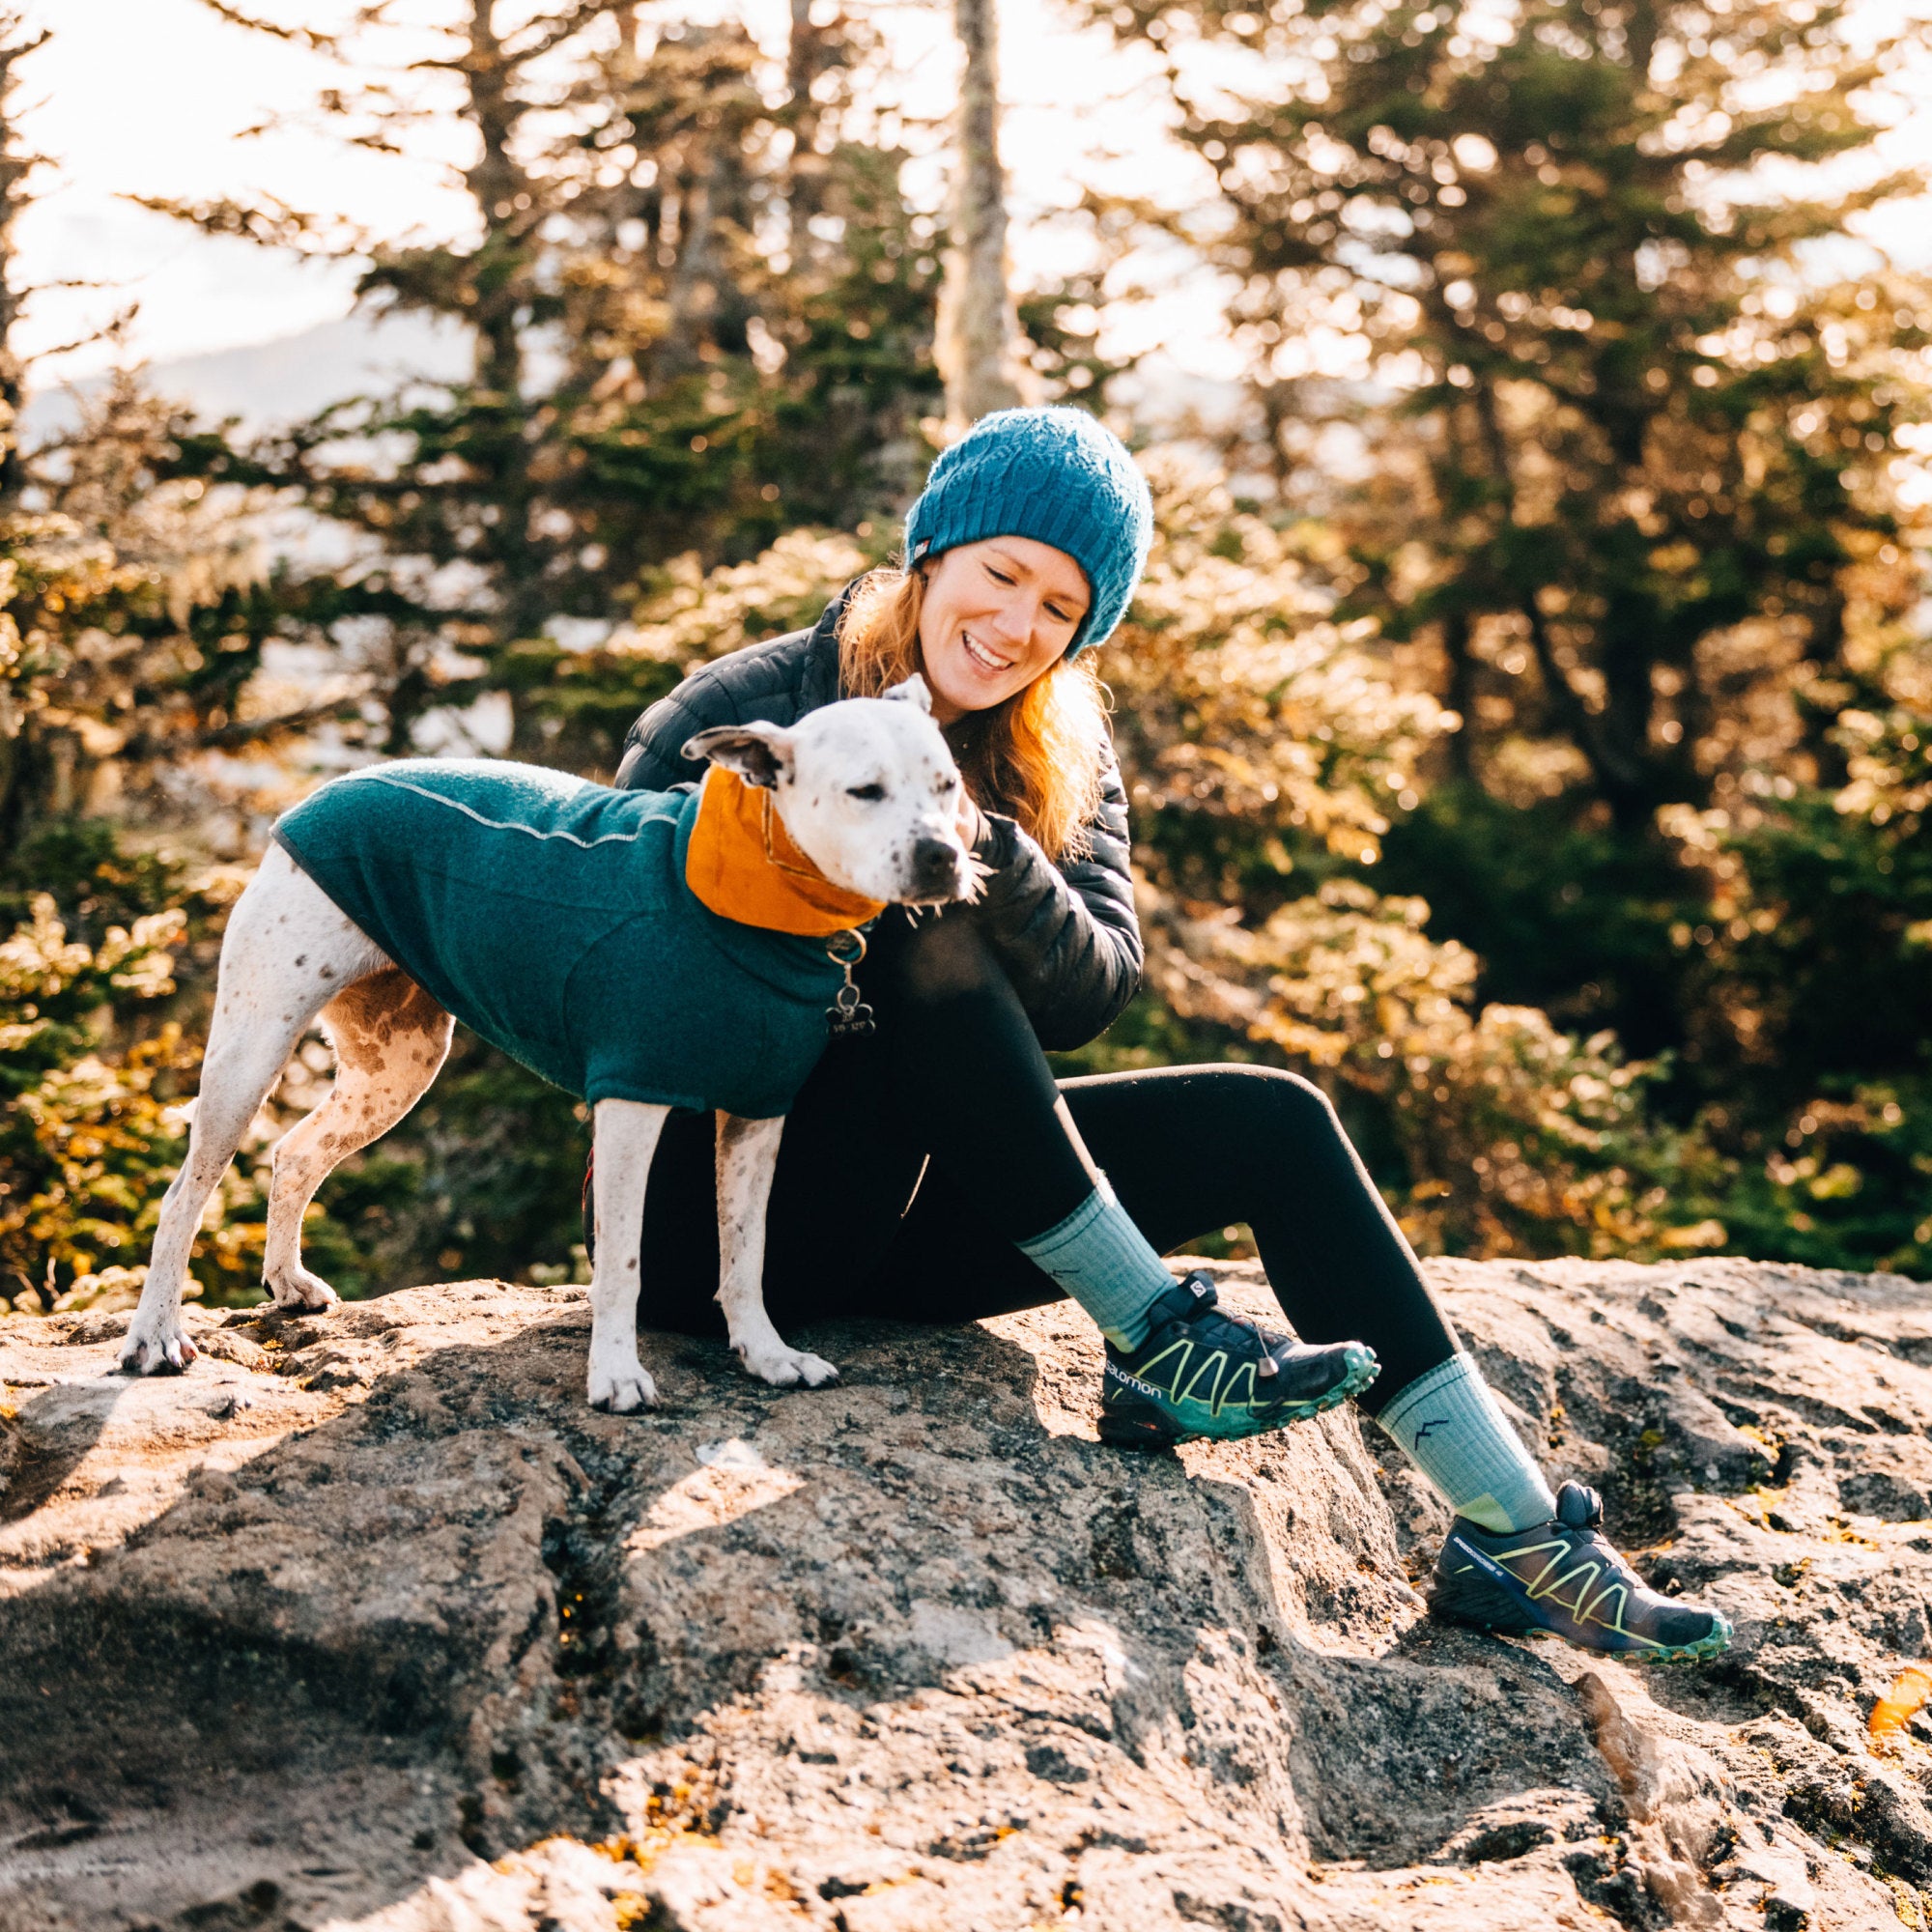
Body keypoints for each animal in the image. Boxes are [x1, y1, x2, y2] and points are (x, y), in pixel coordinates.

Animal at [113, 676, 974, 1406]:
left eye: (948, 786)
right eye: (865, 791)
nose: (944, 856)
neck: (764, 901)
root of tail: (322, 794)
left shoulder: (758, 1117)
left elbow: (745, 1250)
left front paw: (767, 1355)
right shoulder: (631, 1102)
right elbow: (623, 1263)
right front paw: (616, 1375)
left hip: (397, 1069)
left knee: (295, 1153)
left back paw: (287, 1281)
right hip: (251, 1050)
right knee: (184, 1195)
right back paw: (154, 1336)